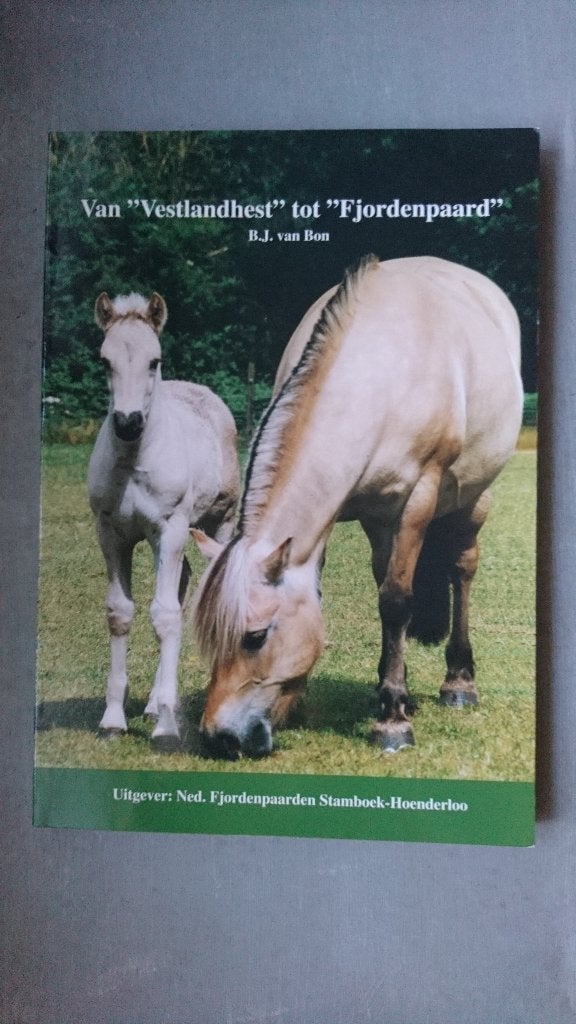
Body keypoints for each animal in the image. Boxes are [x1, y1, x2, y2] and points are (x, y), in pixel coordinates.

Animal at [88, 290, 240, 748]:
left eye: (154, 360)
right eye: (105, 360)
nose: (127, 422)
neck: (133, 462)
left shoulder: (169, 529)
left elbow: (167, 615)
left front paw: (168, 728)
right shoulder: (110, 534)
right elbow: (121, 613)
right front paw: (113, 719)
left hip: (218, 521)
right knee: (182, 581)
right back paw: (153, 701)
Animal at [192, 255, 523, 759]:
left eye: (255, 637)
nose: (220, 738)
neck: (376, 374)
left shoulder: (419, 498)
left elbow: (397, 601)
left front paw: (393, 722)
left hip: (472, 497)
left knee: (462, 568)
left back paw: (458, 682)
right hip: (379, 519)